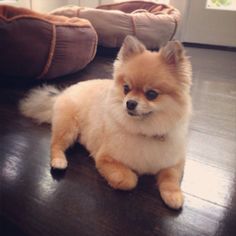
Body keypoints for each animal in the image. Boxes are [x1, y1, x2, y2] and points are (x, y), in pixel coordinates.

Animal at [20, 36, 192, 209]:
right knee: (55, 145)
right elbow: (129, 180)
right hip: (68, 127)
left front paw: (174, 195)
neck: (144, 130)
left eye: (151, 94)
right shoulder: (105, 158)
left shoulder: (175, 162)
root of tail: (66, 91)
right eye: (126, 88)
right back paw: (59, 161)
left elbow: (171, 178)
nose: (130, 103)